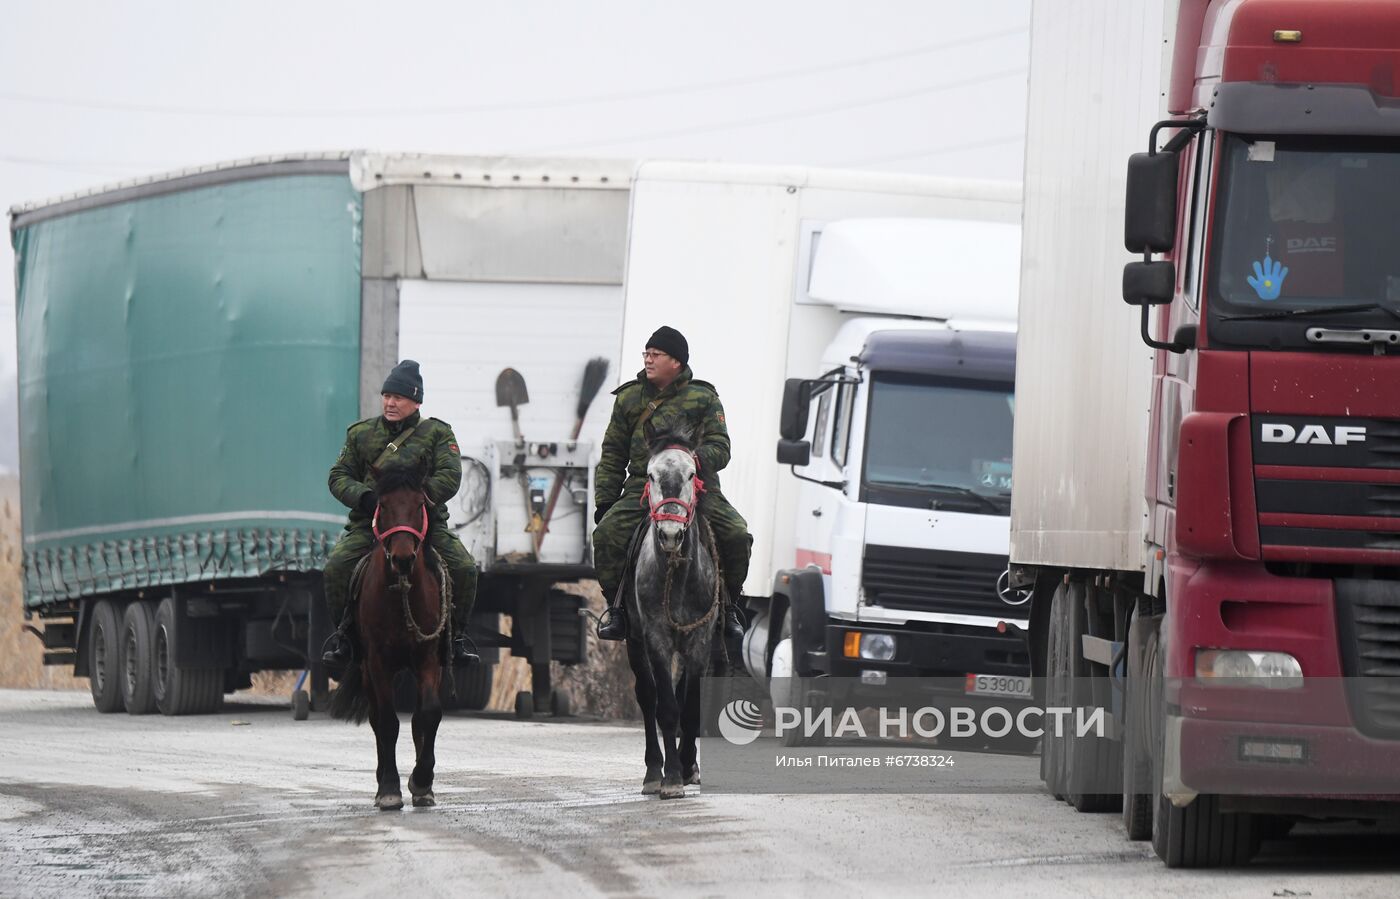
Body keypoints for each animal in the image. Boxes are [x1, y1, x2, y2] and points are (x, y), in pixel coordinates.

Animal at [327, 459, 448, 806]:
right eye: (382, 505)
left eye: (420, 504)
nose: (404, 558)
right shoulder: (377, 662)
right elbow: (387, 722)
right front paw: (391, 789)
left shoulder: (428, 658)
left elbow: (428, 714)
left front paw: (422, 781)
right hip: (366, 669)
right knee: (376, 719)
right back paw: (383, 779)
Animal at [630, 425, 728, 795]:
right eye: (650, 475)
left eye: (691, 474)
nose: (671, 533)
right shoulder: (656, 637)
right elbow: (668, 708)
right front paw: (670, 778)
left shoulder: (700, 639)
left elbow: (690, 705)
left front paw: (687, 767)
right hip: (633, 639)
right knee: (648, 697)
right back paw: (652, 771)